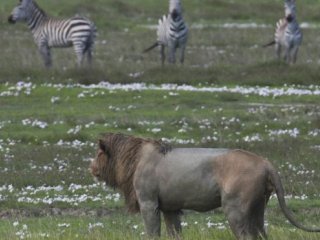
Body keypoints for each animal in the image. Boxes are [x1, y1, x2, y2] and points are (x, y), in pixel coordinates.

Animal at [88, 132, 320, 239]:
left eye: (99, 153)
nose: (91, 168)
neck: (133, 159)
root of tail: (266, 162)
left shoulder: (148, 203)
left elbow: (152, 232)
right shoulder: (171, 208)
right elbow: (175, 233)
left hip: (235, 208)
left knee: (246, 235)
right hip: (258, 207)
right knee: (262, 233)